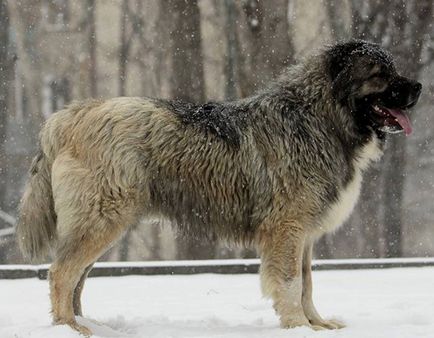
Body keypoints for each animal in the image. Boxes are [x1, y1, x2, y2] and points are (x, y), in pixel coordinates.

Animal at [16, 40, 420, 336]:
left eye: (393, 68)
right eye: (380, 74)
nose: (418, 86)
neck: (319, 118)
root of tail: (68, 116)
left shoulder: (304, 234)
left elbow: (307, 283)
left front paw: (316, 324)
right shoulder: (287, 230)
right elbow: (291, 283)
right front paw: (297, 326)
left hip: (100, 222)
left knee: (76, 279)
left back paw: (86, 324)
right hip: (101, 220)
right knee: (61, 274)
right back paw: (70, 328)